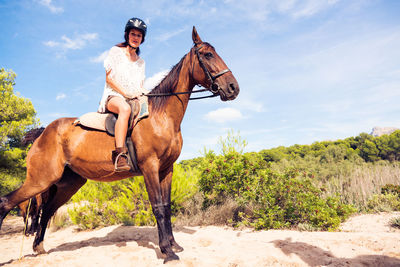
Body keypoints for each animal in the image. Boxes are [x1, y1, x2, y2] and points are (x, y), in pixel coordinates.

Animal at [0, 26, 238, 264]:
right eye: (208, 54)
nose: (233, 88)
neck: (161, 116)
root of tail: (42, 133)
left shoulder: (166, 170)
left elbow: (168, 207)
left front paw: (174, 245)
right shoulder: (150, 168)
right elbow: (158, 208)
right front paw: (167, 252)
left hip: (67, 183)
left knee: (47, 210)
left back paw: (39, 247)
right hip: (40, 180)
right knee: (6, 202)